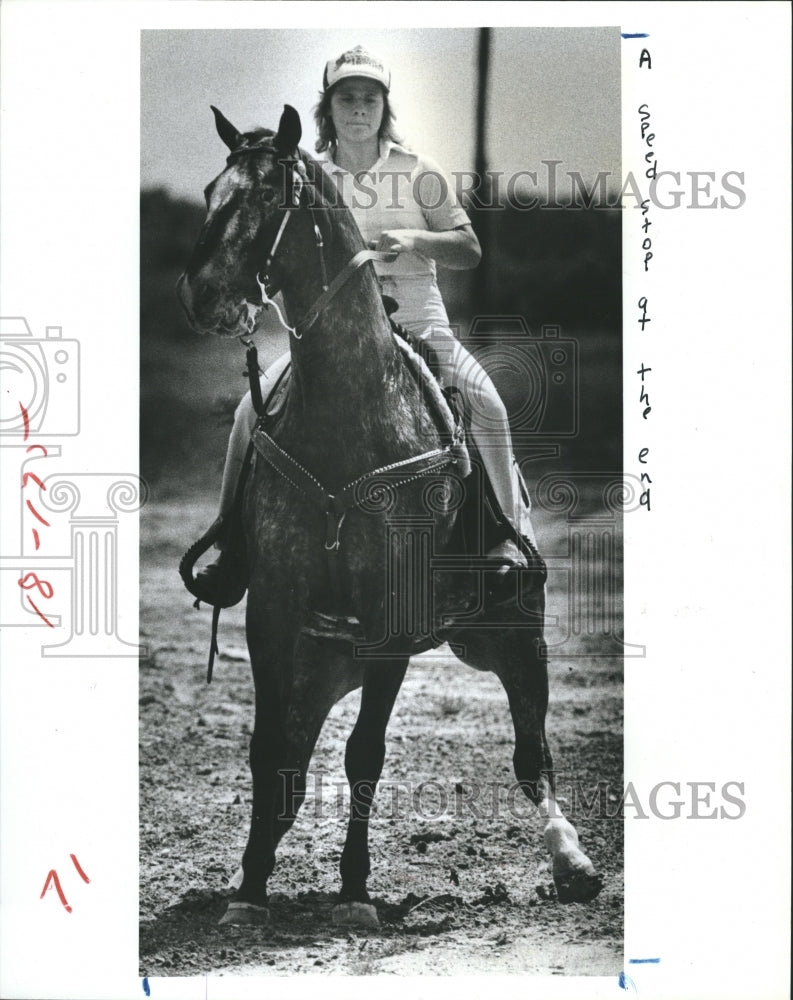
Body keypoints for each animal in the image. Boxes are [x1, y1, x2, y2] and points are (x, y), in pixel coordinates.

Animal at [178, 107, 600, 928]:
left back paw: (571, 861)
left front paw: (352, 891)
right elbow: (271, 752)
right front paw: (249, 890)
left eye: (268, 192)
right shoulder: (273, 612)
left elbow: (364, 754)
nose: (203, 294)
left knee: (532, 752)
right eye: (212, 190)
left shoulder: (390, 622)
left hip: (513, 631)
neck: (351, 419)